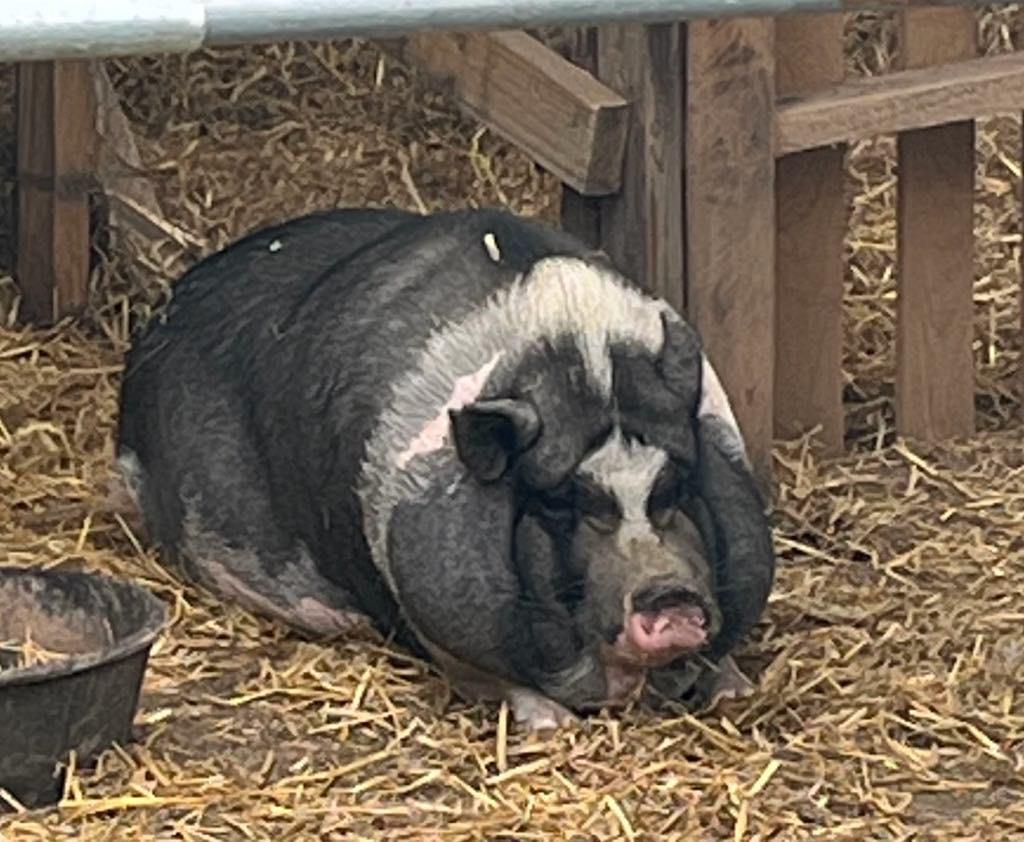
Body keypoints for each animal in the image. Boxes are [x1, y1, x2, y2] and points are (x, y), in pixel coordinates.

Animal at [115, 206, 775, 730]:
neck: (582, 357)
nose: (670, 594)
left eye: (676, 484)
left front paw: (734, 692)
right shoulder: (440, 617)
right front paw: (551, 724)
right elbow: (493, 680)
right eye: (558, 501)